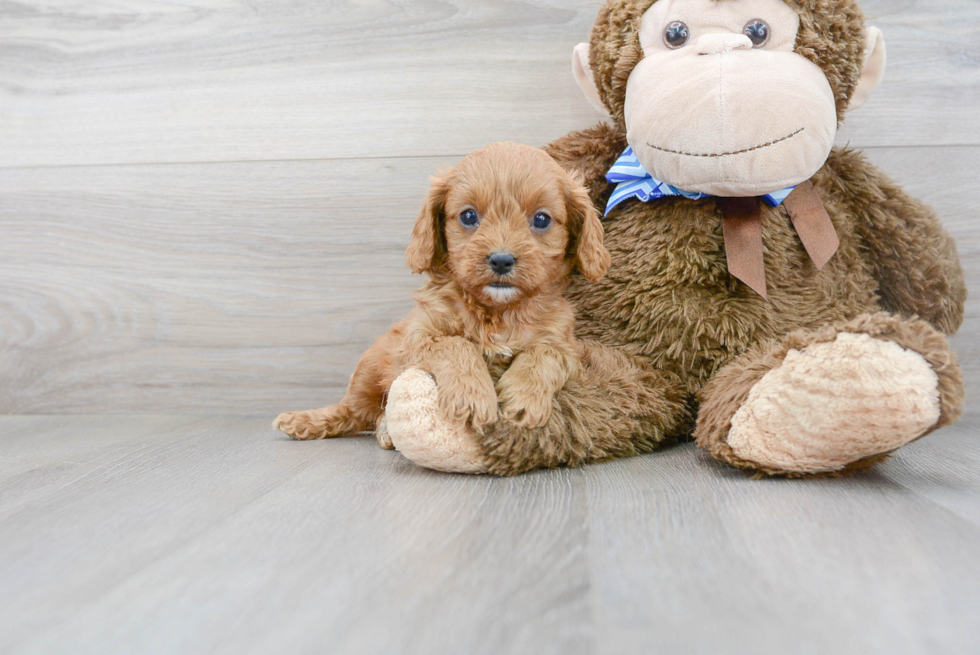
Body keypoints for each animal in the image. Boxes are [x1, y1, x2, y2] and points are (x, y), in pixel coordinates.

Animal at [276, 143, 608, 446]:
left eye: (541, 219)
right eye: (469, 216)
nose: (501, 260)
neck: (496, 311)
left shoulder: (567, 348)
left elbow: (544, 354)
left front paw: (523, 398)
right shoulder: (417, 340)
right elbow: (456, 344)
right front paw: (472, 397)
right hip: (369, 368)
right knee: (352, 412)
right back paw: (304, 421)